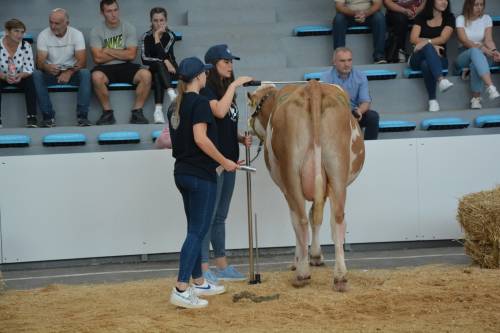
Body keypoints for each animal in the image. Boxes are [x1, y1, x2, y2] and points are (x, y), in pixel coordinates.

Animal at [248, 79, 366, 290]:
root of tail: (313, 87)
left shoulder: (285, 188)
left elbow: (304, 218)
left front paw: (301, 259)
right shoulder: (325, 188)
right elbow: (316, 217)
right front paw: (316, 256)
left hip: (291, 173)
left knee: (300, 219)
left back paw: (302, 273)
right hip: (337, 170)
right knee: (337, 219)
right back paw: (340, 276)